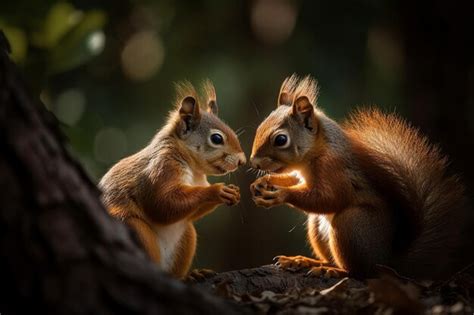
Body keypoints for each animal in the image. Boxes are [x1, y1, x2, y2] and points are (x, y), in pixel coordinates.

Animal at [101, 81, 248, 278]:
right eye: (217, 138)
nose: (242, 160)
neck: (194, 170)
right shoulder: (162, 168)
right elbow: (164, 204)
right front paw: (216, 191)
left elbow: (187, 212)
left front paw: (233, 193)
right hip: (134, 228)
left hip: (187, 236)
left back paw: (190, 277)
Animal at [250, 75, 472, 280]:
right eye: (259, 128)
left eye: (281, 139)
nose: (254, 162)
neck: (313, 154)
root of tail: (387, 262)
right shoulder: (302, 176)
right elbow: (296, 181)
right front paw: (262, 183)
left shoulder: (335, 169)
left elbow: (330, 198)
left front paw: (280, 194)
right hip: (317, 226)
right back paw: (303, 261)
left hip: (351, 225)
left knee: (360, 272)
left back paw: (333, 270)